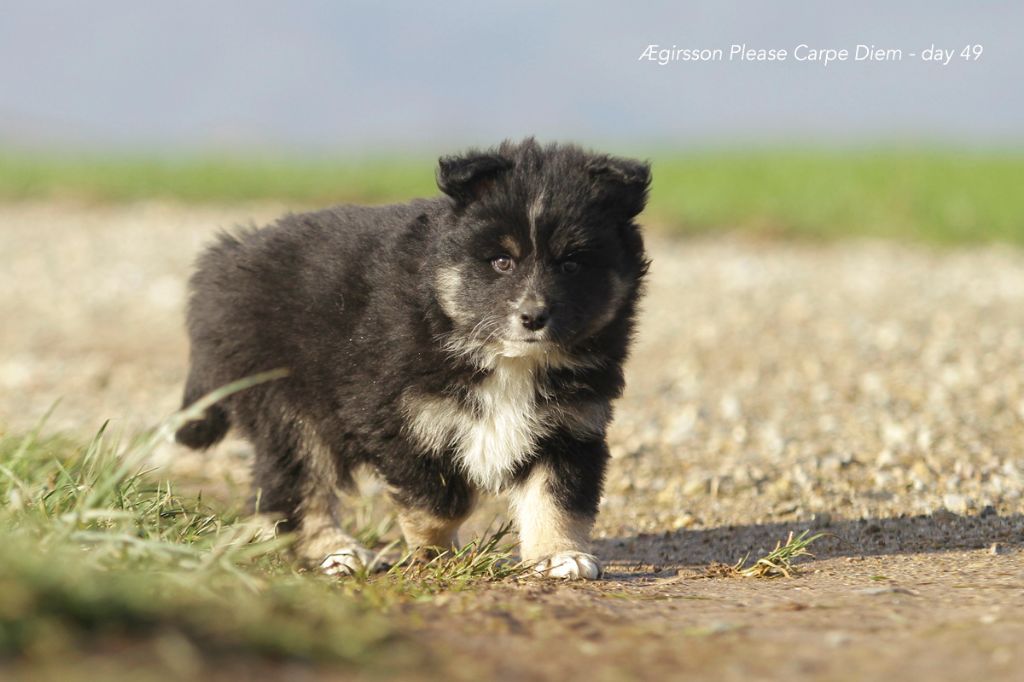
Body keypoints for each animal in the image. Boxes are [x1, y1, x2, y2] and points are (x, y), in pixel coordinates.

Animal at [175, 138, 649, 579]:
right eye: (501, 261)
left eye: (571, 264)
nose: (533, 317)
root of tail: (225, 259)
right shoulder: (399, 416)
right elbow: (439, 501)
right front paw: (437, 555)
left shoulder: (570, 425)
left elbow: (557, 497)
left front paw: (559, 556)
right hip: (289, 408)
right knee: (296, 486)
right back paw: (339, 552)